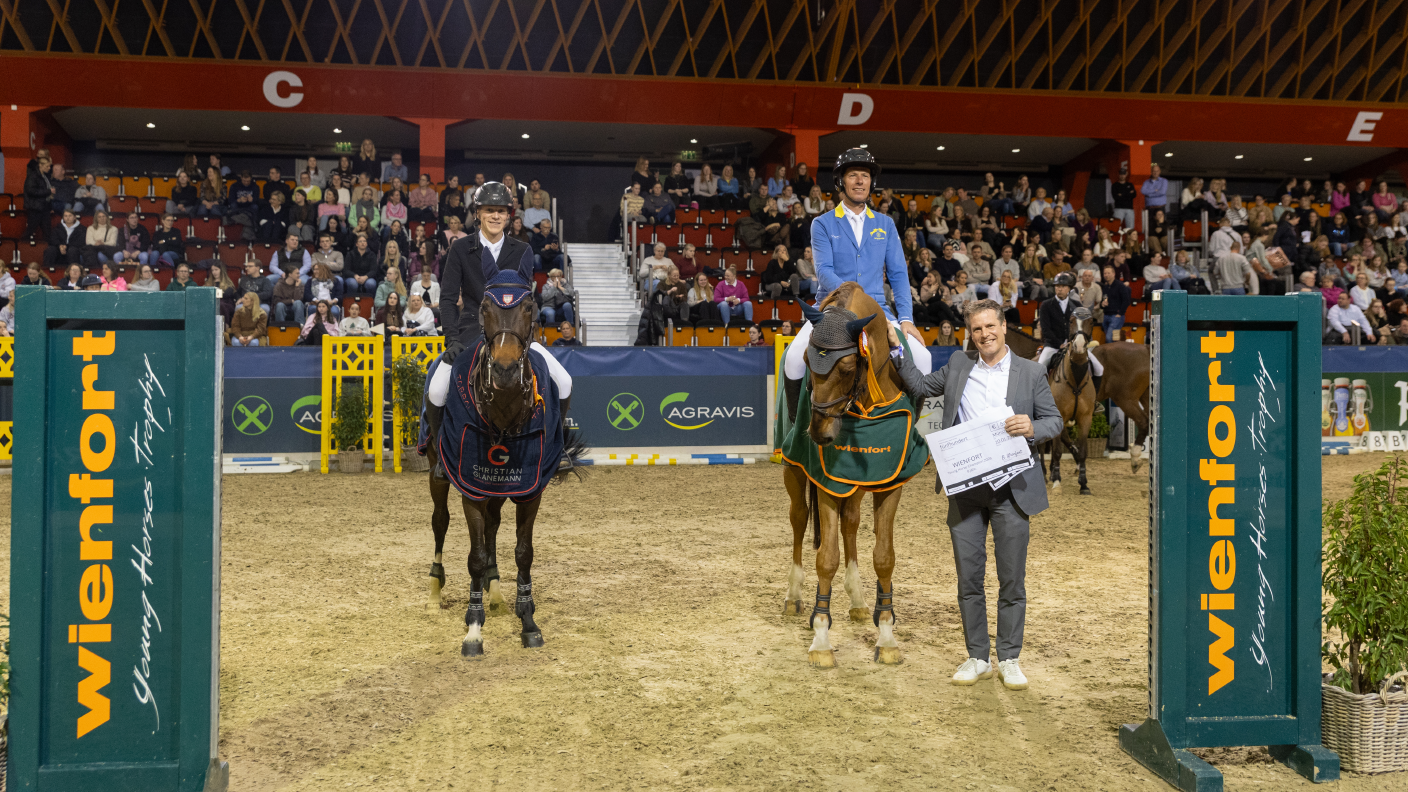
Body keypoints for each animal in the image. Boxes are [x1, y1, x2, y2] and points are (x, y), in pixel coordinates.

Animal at [779, 284, 925, 668]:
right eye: (808, 363)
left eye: (846, 367)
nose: (818, 435)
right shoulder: (827, 482)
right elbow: (826, 559)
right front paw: (821, 638)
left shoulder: (889, 483)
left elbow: (884, 557)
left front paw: (887, 635)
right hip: (793, 469)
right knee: (799, 520)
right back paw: (794, 596)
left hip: (858, 486)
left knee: (851, 523)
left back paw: (858, 601)